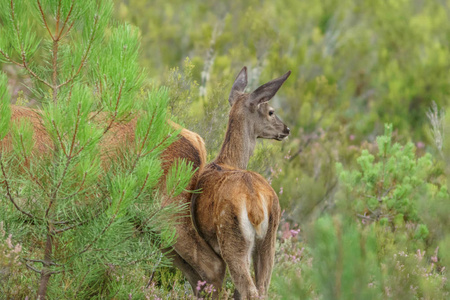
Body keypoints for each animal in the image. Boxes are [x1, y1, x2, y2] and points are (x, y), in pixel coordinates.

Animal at [190, 67, 292, 298]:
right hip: (266, 239)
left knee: (250, 290)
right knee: (261, 288)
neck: (226, 161)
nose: (286, 129)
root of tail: (254, 202)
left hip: (233, 239)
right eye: (271, 111)